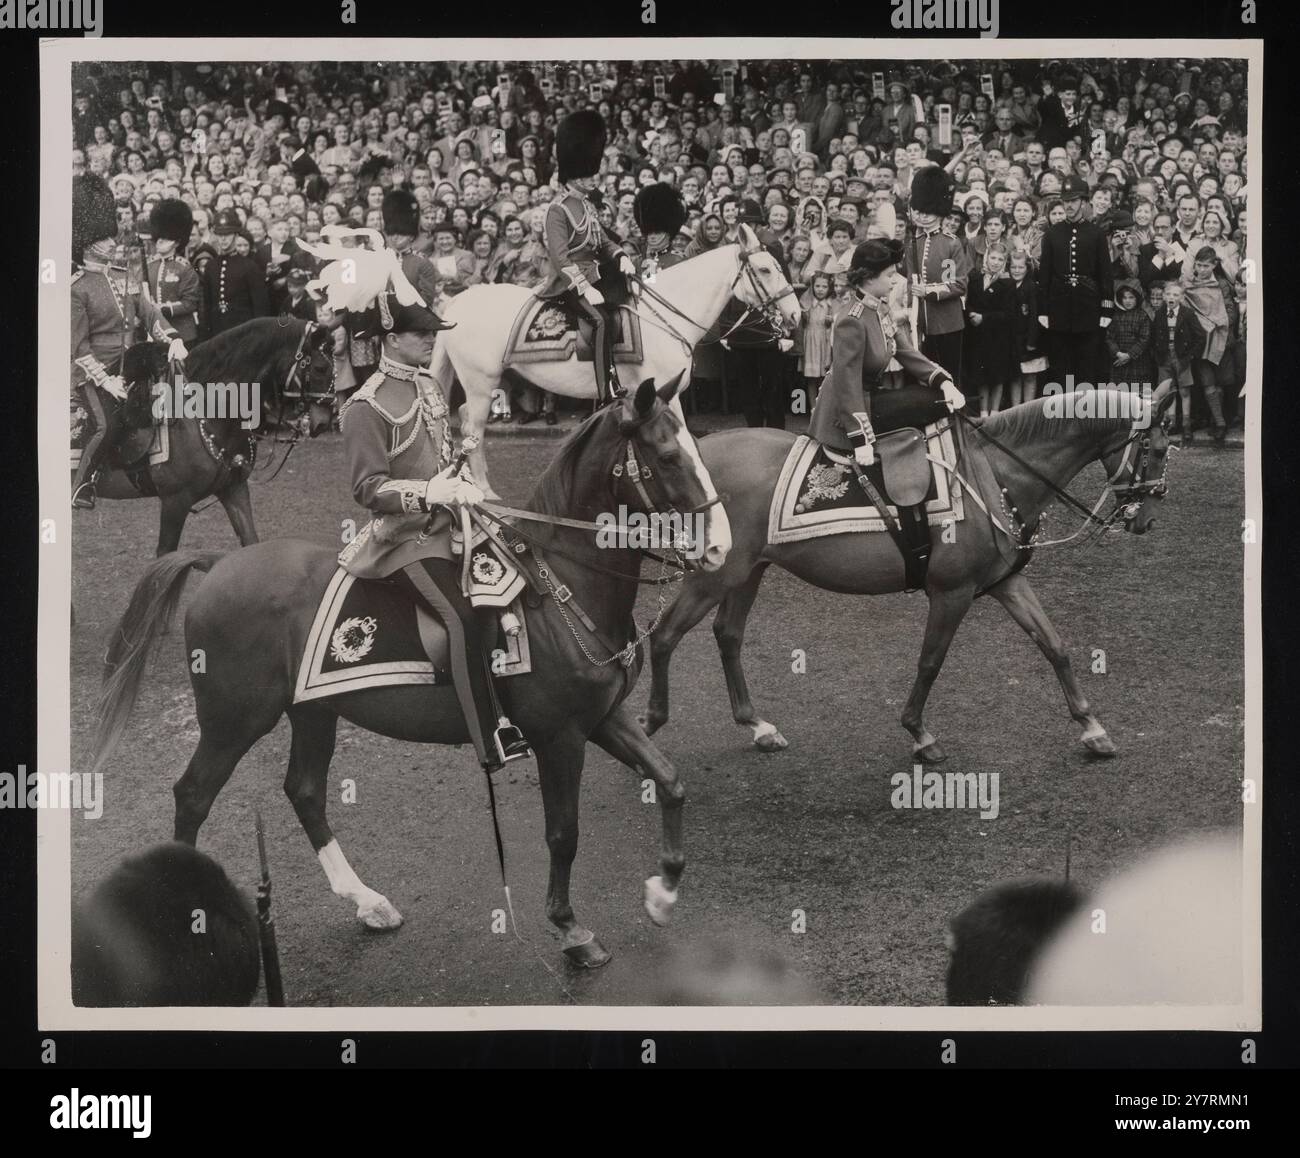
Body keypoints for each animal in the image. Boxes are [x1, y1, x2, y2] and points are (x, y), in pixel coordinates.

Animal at [75, 314, 335, 553]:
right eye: (321, 368)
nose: (324, 422)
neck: (207, 412)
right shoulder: (175, 502)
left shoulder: (234, 489)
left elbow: (250, 541)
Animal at [431, 223, 795, 496]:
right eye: (765, 269)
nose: (795, 314)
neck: (662, 314)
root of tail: (458, 301)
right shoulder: (664, 394)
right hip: (481, 382)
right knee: (473, 426)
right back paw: (484, 491)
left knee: (467, 419)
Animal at [644, 389, 1175, 764]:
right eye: (1158, 450)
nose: (1148, 519)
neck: (994, 473)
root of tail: (698, 457)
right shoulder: (952, 592)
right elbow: (930, 661)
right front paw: (920, 734)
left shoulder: (1005, 583)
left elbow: (1054, 645)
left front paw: (1092, 728)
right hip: (714, 575)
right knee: (664, 636)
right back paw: (650, 723)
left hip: (748, 572)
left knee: (727, 635)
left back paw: (757, 726)